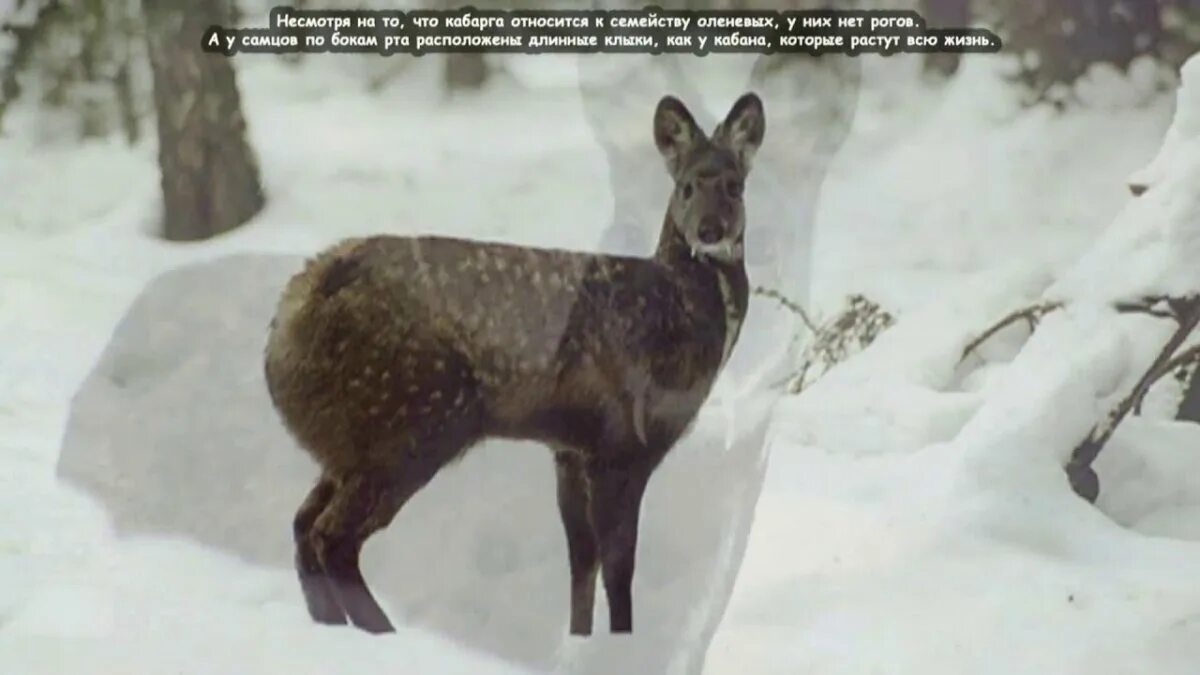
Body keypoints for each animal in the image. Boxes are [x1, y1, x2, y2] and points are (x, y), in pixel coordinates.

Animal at [265, 90, 768, 634]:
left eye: (735, 186)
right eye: (686, 186)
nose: (710, 230)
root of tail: (288, 320)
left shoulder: (570, 449)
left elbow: (582, 564)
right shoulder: (623, 442)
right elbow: (619, 568)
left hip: (352, 438)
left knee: (302, 524)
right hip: (408, 421)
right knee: (331, 536)